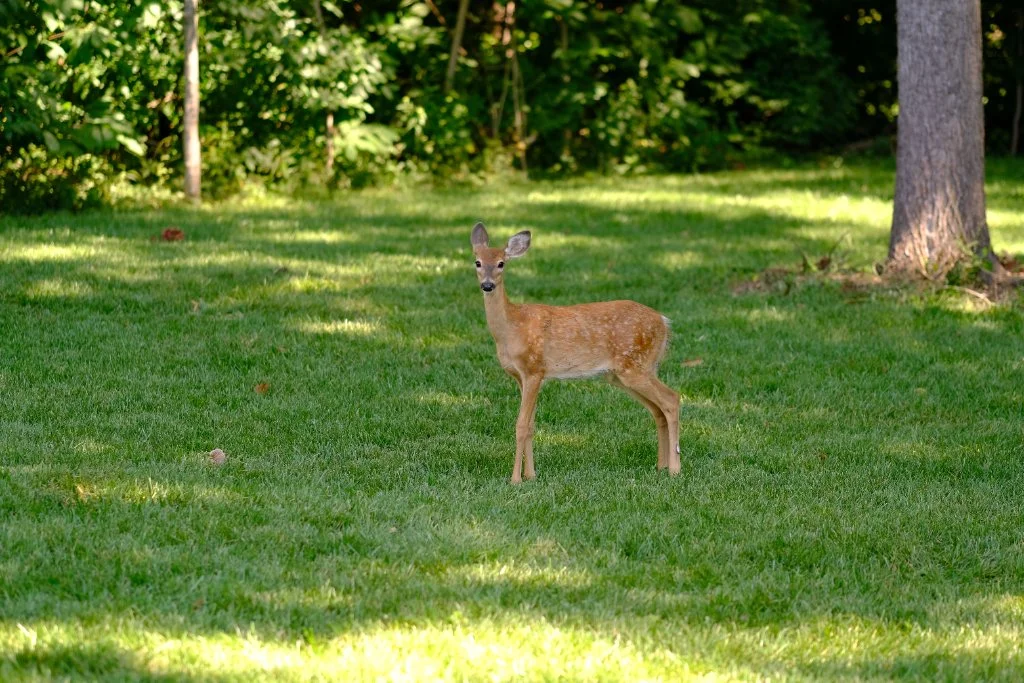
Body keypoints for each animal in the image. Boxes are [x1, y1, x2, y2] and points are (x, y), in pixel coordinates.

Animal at [470, 222, 680, 484]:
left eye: (501, 263)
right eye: (477, 262)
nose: (487, 285)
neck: (511, 327)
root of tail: (664, 322)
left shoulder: (534, 369)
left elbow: (521, 425)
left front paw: (516, 480)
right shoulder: (521, 376)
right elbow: (531, 425)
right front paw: (531, 475)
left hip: (635, 366)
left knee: (672, 399)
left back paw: (675, 469)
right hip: (626, 372)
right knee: (658, 409)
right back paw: (661, 466)